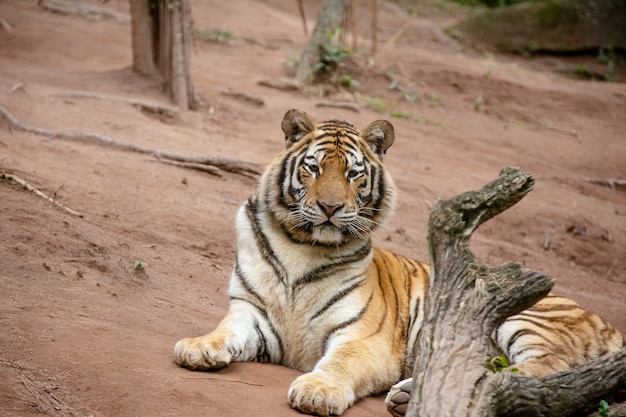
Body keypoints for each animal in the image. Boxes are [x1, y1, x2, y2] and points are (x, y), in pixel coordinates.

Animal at [173, 109, 620, 414]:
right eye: (313, 168)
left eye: (353, 174)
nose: (330, 208)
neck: (302, 245)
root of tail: (608, 321)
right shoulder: (250, 312)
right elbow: (224, 331)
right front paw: (198, 347)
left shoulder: (363, 335)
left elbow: (341, 362)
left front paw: (317, 391)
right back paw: (408, 396)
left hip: (524, 315)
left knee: (548, 370)